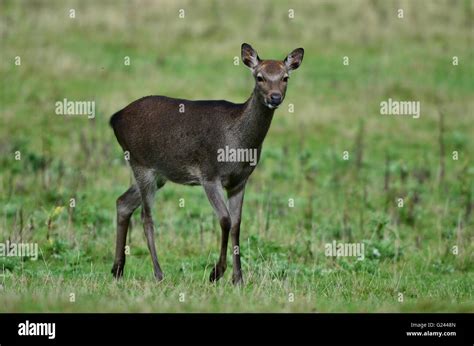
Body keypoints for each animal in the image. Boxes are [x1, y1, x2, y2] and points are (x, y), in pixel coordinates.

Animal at [109, 43, 304, 286]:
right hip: (141, 164)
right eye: (259, 77)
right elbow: (225, 220)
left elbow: (237, 224)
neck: (239, 144)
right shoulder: (209, 175)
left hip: (158, 174)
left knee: (123, 202)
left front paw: (238, 279)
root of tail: (114, 118)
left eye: (285, 77)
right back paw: (158, 274)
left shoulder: (240, 181)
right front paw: (216, 273)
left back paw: (117, 269)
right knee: (146, 217)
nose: (275, 97)